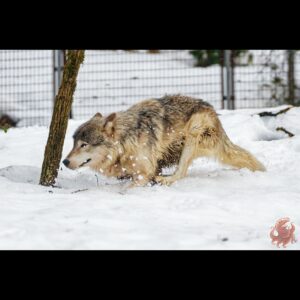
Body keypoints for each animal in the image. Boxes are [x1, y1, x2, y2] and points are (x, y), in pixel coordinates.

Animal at [63, 95, 264, 186]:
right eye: (73, 144)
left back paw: (165, 180)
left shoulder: (144, 170)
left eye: (84, 145)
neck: (126, 141)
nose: (64, 161)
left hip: (193, 132)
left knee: (181, 173)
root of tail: (213, 112)